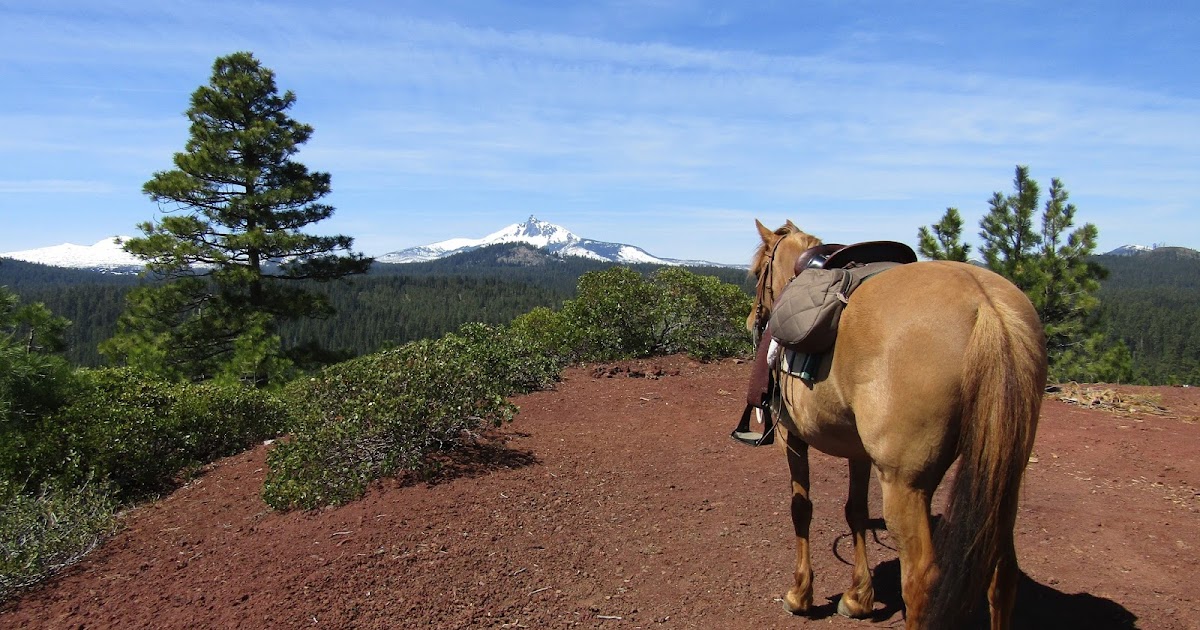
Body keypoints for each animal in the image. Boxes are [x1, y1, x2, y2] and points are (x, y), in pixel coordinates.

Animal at [747, 220, 1046, 629]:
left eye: (757, 272)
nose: (752, 320)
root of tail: (986, 305)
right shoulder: (857, 449)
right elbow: (855, 510)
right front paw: (858, 598)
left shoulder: (791, 436)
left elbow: (801, 508)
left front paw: (800, 595)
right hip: (1004, 474)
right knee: (1002, 573)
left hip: (905, 483)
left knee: (921, 579)